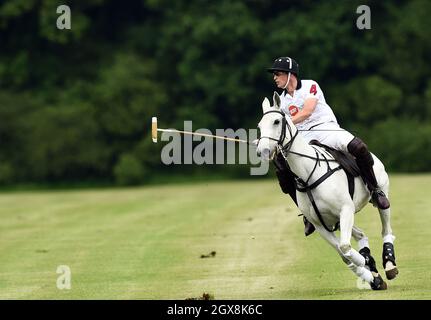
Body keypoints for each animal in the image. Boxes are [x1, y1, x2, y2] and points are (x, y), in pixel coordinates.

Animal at [255, 92, 400, 290]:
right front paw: (371, 274)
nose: (262, 150)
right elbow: (343, 253)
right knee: (361, 234)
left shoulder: (345, 209)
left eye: (277, 121)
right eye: (259, 126)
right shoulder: (319, 224)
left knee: (386, 228)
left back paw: (389, 264)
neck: (308, 175)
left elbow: (345, 247)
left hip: (379, 194)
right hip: (336, 218)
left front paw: (365, 263)